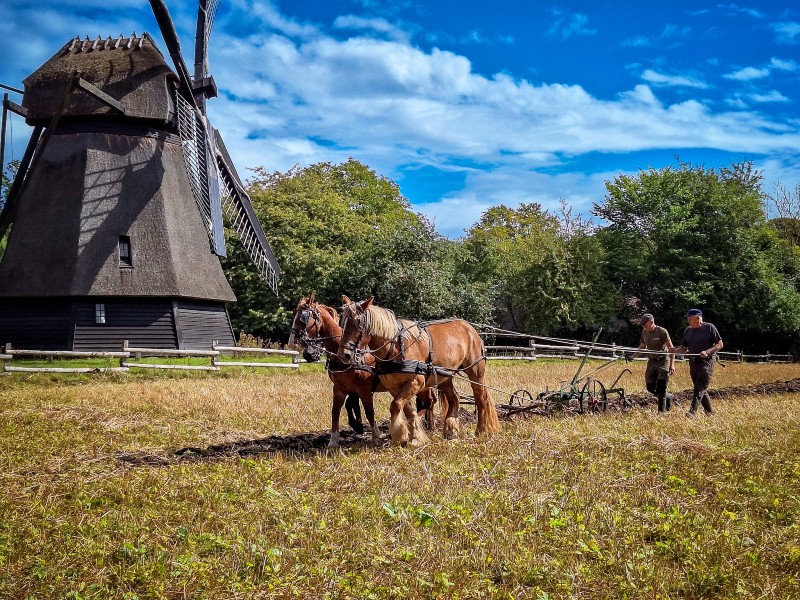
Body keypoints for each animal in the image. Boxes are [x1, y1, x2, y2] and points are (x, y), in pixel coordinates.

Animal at [288, 292, 440, 448]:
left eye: (303, 318)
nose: (292, 343)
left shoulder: (364, 390)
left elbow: (369, 412)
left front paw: (375, 436)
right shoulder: (339, 389)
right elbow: (335, 412)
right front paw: (333, 440)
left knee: (430, 401)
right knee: (428, 402)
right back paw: (428, 426)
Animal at [332, 296, 500, 446]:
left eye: (358, 323)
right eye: (342, 322)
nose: (344, 354)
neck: (396, 347)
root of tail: (469, 328)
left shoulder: (416, 382)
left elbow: (395, 406)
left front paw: (400, 435)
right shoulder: (394, 387)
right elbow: (406, 410)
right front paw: (415, 436)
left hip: (475, 371)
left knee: (481, 398)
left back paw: (481, 431)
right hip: (444, 376)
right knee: (454, 399)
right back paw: (451, 431)